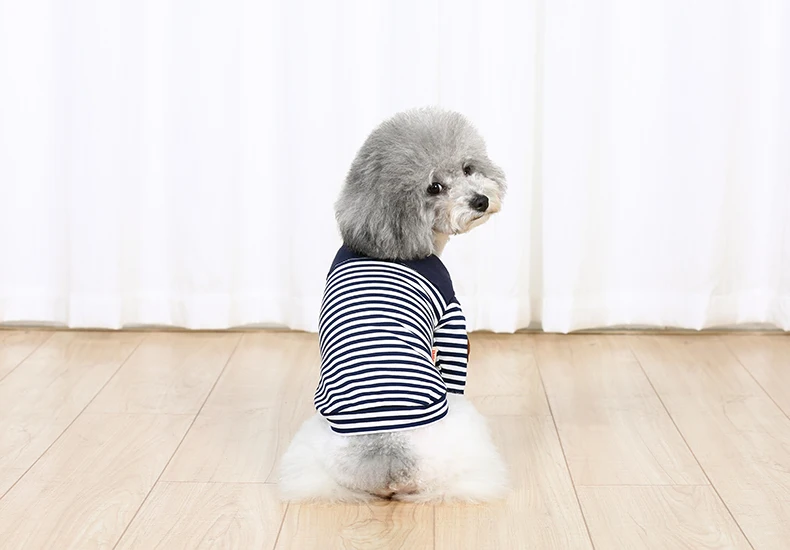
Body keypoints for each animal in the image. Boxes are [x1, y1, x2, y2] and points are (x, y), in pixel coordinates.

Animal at [278, 106, 509, 503]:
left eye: (467, 168)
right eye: (434, 188)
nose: (479, 200)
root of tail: (388, 457)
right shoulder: (451, 313)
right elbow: (456, 365)